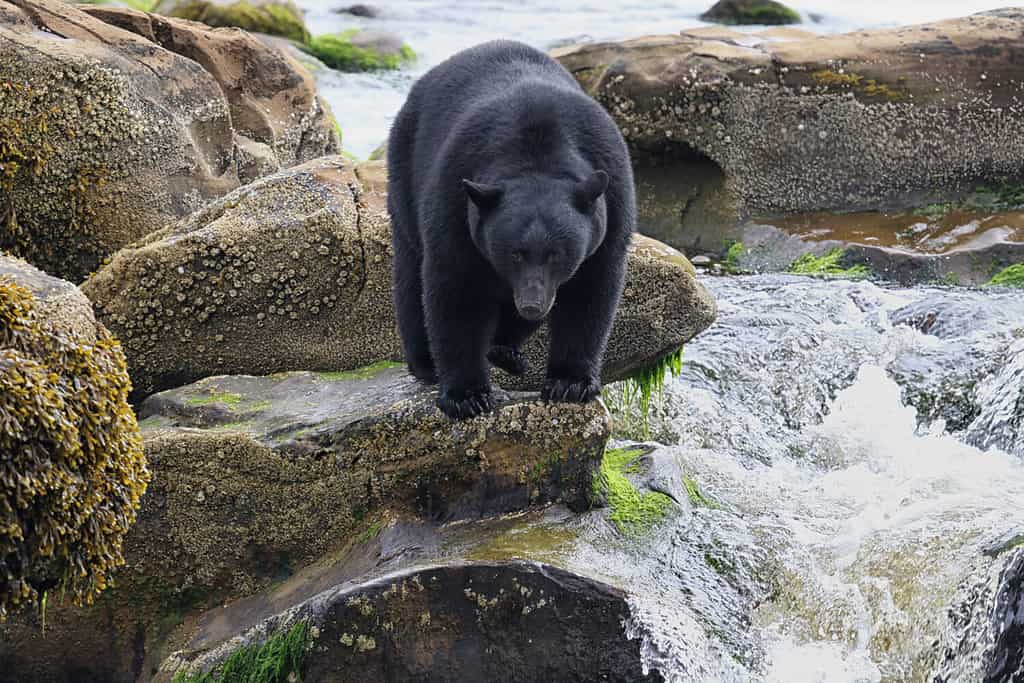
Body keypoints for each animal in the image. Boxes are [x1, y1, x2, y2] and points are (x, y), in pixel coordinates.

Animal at [387, 41, 630, 421]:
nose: (531, 304)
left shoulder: (612, 204)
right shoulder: (454, 198)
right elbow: (455, 290)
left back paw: (506, 351)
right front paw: (466, 395)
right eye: (514, 253)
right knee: (411, 274)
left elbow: (591, 292)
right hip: (404, 173)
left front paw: (570, 383)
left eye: (557, 254)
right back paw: (425, 362)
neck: (537, 154)